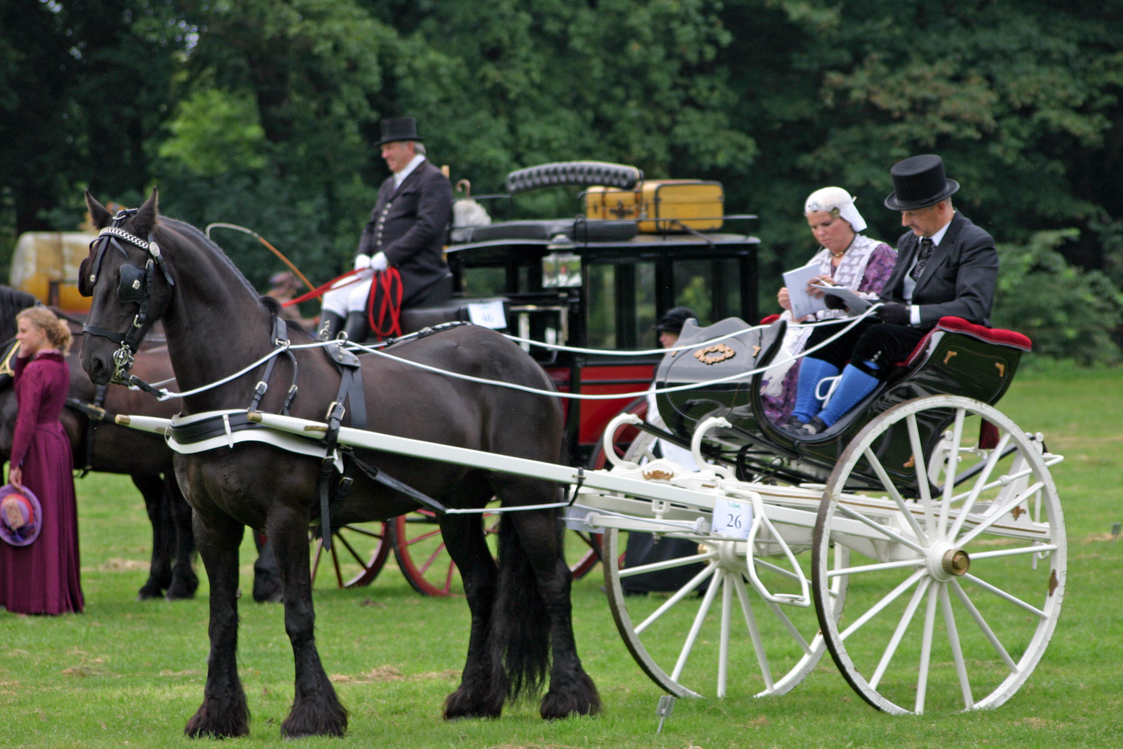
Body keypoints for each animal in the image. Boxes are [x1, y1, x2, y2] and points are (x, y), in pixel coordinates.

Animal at [78, 191, 598, 739]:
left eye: (129, 280)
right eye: (90, 276)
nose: (93, 363)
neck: (244, 385)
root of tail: (525, 359)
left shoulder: (286, 518)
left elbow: (298, 614)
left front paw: (312, 713)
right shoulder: (211, 522)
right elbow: (221, 620)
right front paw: (217, 714)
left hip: (529, 495)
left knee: (554, 583)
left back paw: (568, 696)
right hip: (456, 509)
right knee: (483, 587)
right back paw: (475, 697)